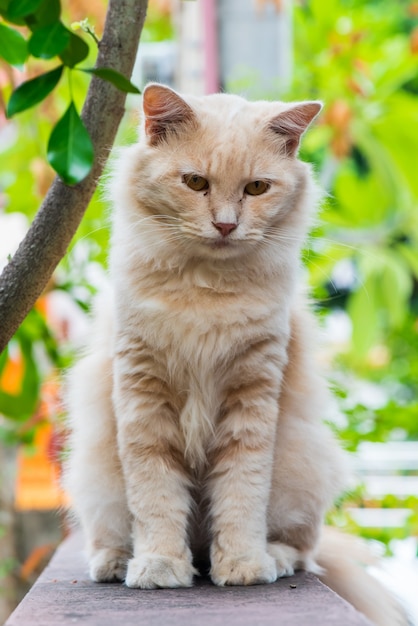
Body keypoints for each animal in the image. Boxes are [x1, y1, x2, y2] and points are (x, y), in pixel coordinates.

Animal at [65, 83, 408, 624]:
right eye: (195, 182)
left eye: (256, 189)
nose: (225, 225)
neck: (207, 290)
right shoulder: (142, 394)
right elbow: (156, 497)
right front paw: (160, 566)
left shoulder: (253, 396)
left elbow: (242, 494)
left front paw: (244, 565)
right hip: (96, 479)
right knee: (116, 533)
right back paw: (119, 562)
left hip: (303, 467)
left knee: (303, 549)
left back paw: (273, 558)